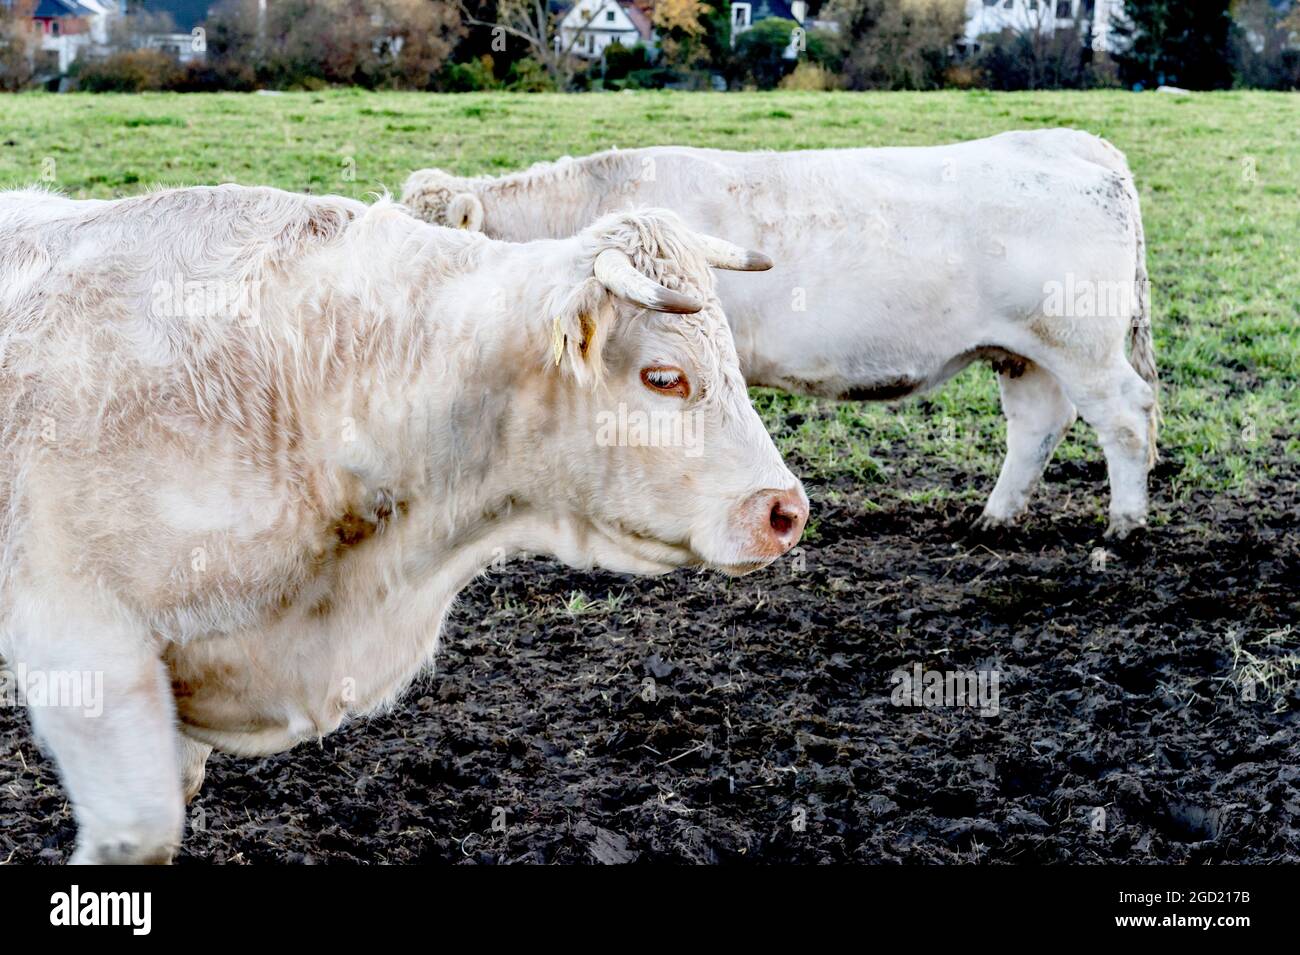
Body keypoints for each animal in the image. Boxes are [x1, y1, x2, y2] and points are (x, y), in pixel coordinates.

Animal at [403, 130, 1159, 540]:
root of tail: (1069, 144)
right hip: (1024, 352)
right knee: (1037, 425)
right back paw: (995, 518)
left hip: (1082, 346)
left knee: (1125, 417)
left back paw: (1125, 524)